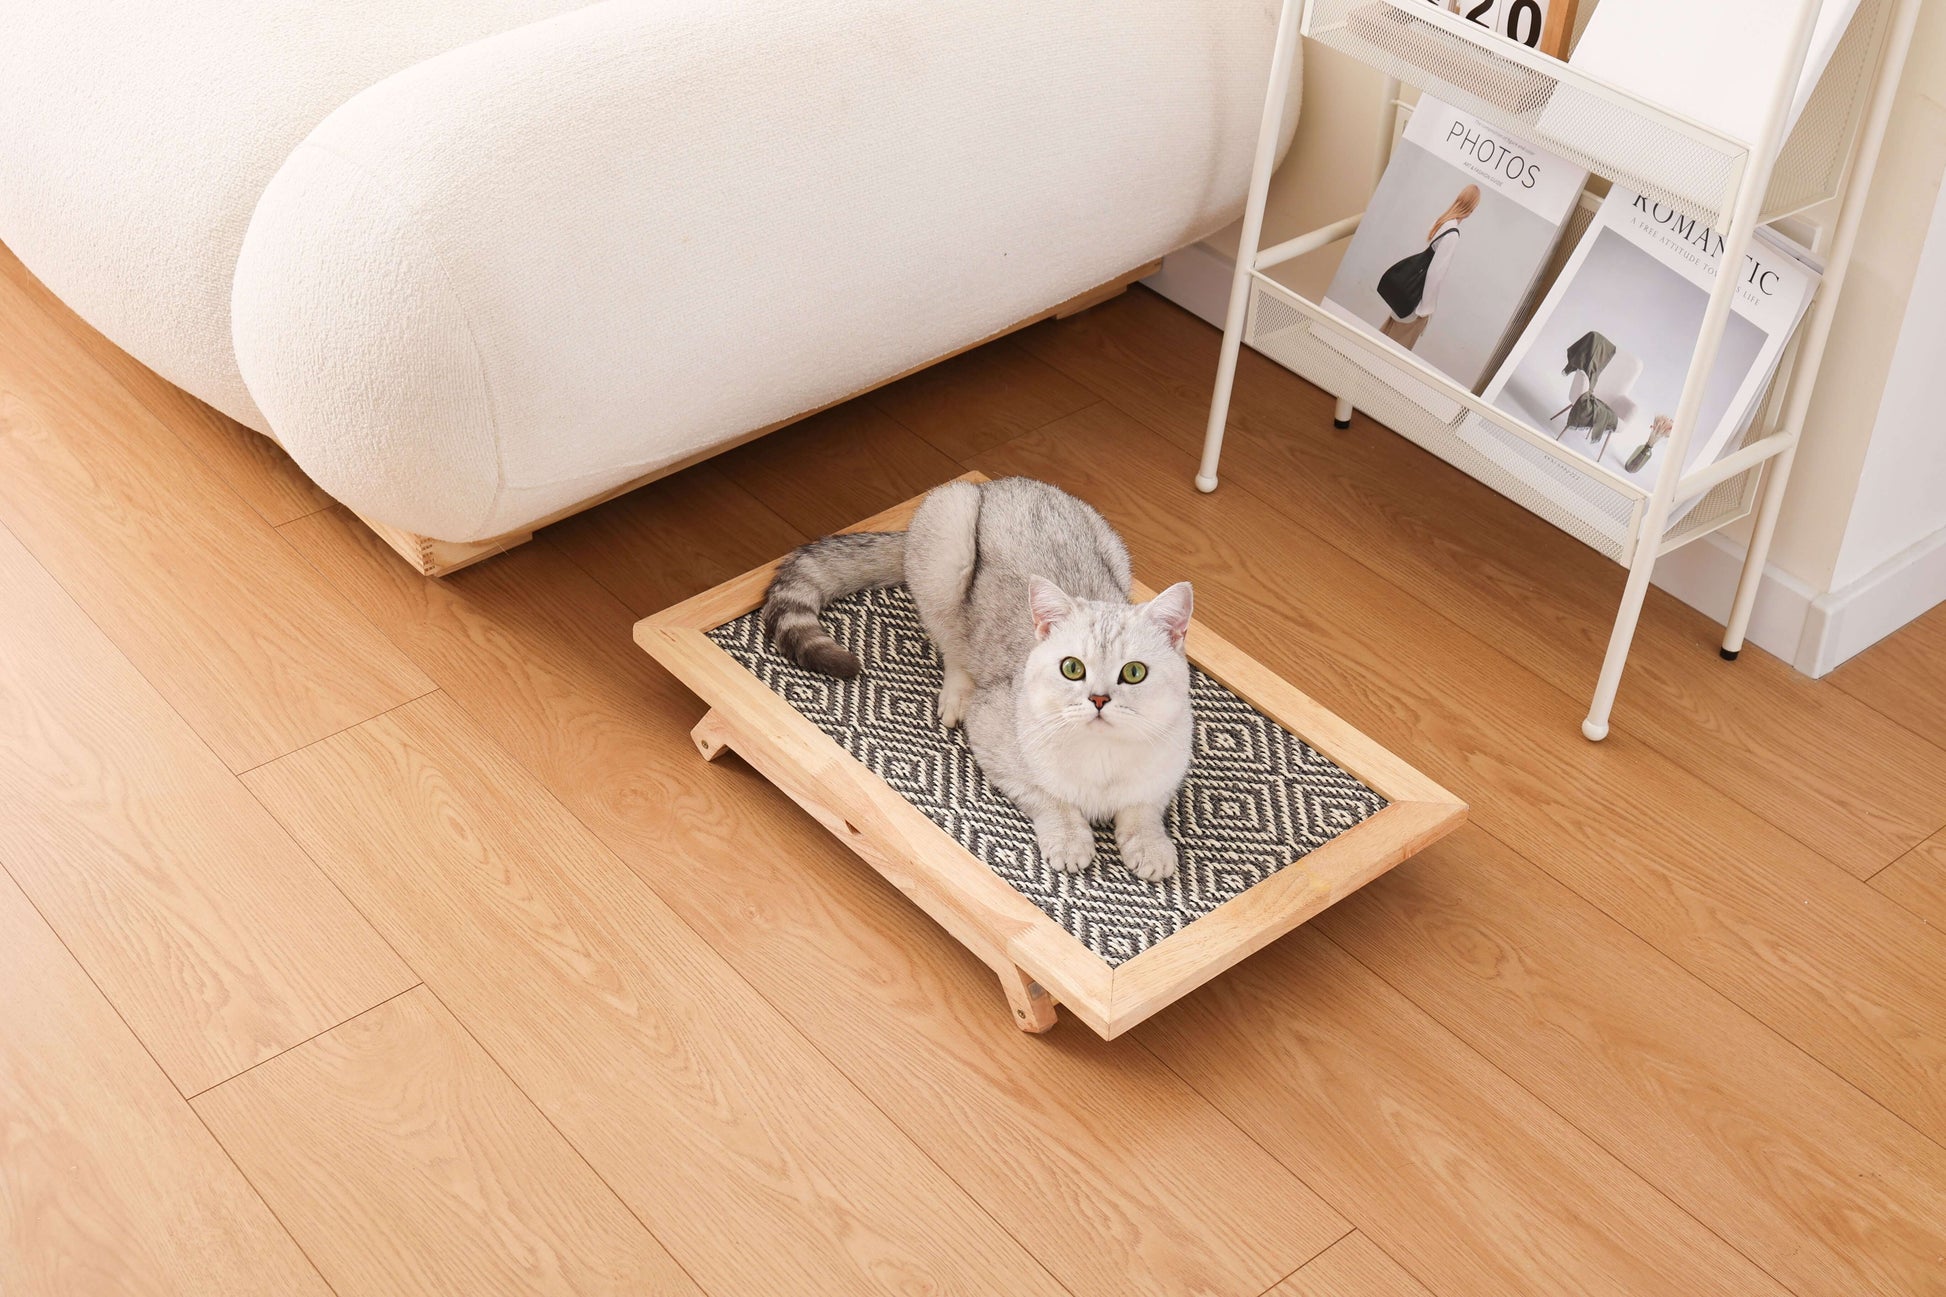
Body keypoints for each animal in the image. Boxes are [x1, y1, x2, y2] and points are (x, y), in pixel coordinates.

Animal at [762, 475, 1190, 880]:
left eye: (1133, 672)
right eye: (1072, 668)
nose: (1099, 699)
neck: (1102, 757)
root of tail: (994, 484)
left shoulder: (1169, 766)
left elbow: (1143, 807)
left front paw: (1151, 847)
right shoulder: (996, 743)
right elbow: (1049, 798)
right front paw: (1070, 839)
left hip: (1115, 553)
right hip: (946, 546)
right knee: (954, 646)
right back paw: (957, 696)